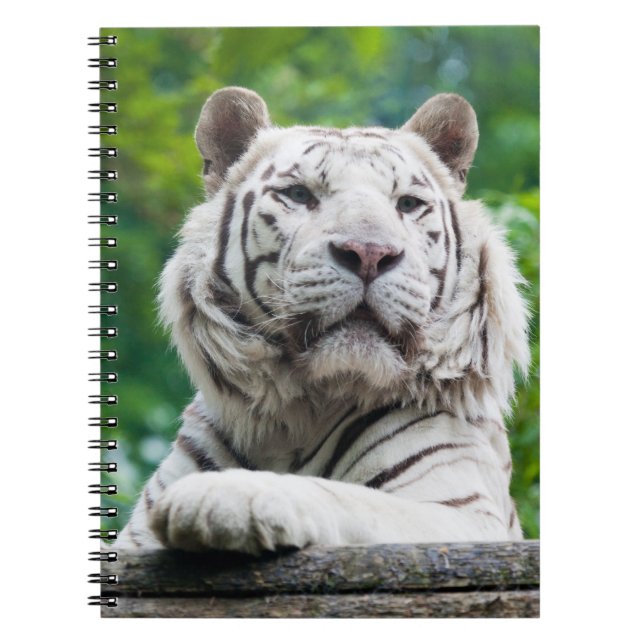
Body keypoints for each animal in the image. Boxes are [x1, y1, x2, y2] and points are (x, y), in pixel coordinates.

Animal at [116, 86, 530, 554]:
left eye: (408, 204)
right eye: (298, 194)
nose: (369, 253)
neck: (295, 419)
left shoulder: (461, 510)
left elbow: (347, 497)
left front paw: (219, 496)